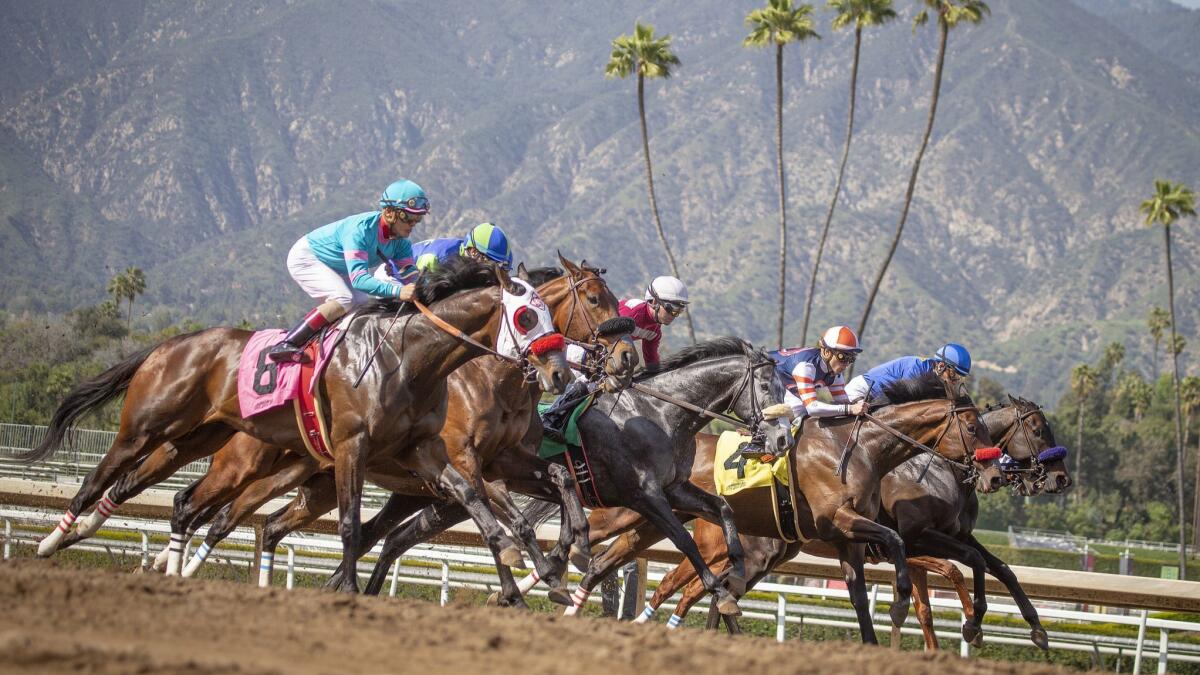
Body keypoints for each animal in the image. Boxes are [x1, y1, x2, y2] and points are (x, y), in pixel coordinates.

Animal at [27, 257, 571, 588]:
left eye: (551, 317)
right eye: (526, 317)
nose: (560, 372)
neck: (409, 359)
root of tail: (168, 345)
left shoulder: (428, 452)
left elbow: (481, 499)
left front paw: (527, 564)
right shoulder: (356, 446)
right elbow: (352, 525)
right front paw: (347, 587)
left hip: (205, 442)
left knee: (187, 504)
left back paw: (159, 561)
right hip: (154, 430)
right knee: (104, 478)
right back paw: (53, 540)